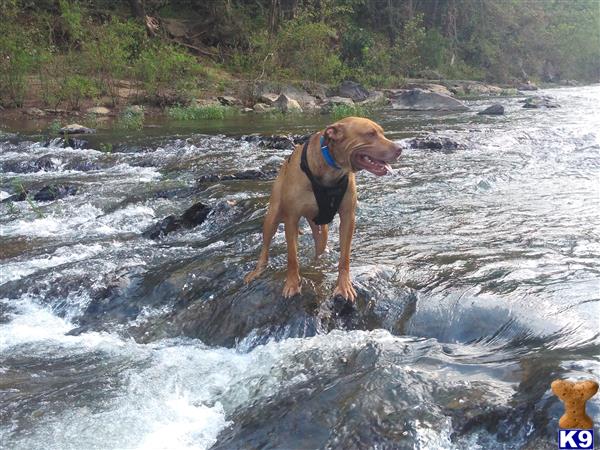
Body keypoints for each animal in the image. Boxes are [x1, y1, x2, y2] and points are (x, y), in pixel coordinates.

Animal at [244, 116, 404, 300]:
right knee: (265, 246)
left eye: (382, 133)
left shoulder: (348, 218)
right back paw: (257, 271)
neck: (331, 168)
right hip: (272, 215)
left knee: (320, 245)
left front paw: (344, 285)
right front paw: (292, 284)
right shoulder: (291, 219)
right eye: (370, 134)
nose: (400, 149)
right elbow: (292, 257)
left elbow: (344, 258)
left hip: (321, 228)